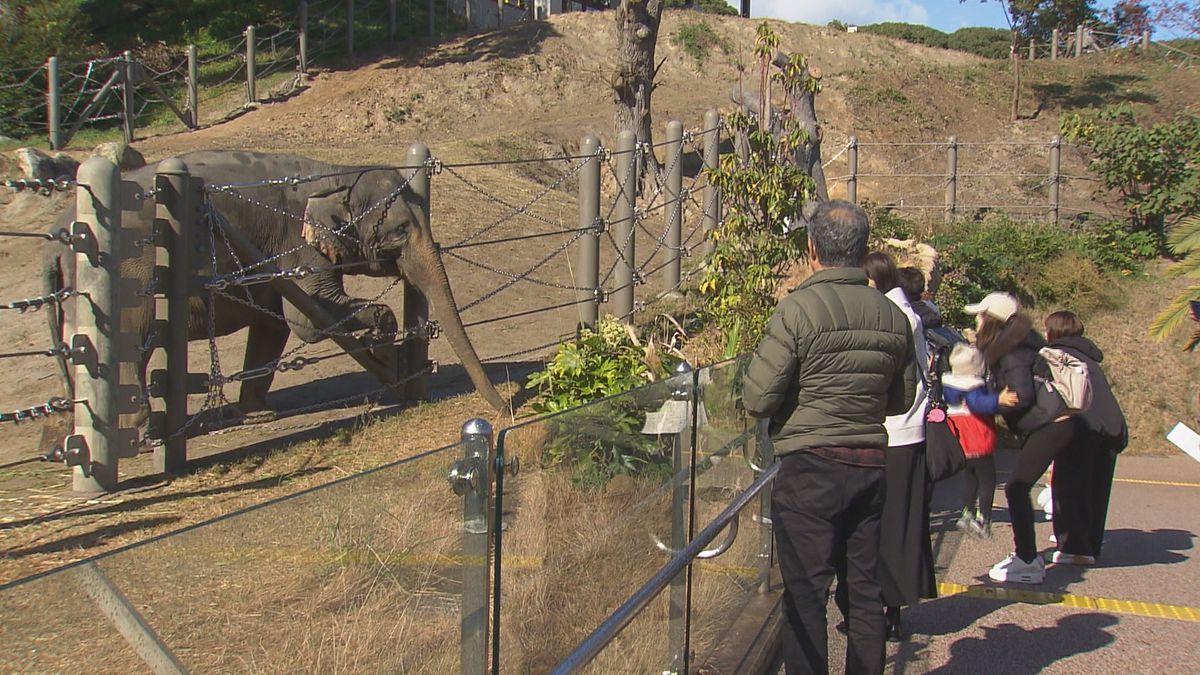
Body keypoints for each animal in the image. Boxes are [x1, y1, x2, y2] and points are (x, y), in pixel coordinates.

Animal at [44, 149, 506, 420]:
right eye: (399, 231)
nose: (507, 408)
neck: (334, 173)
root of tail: (60, 233)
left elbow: (275, 326)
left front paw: (256, 412)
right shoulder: (295, 245)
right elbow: (306, 318)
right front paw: (384, 344)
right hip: (128, 270)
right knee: (128, 341)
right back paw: (140, 430)